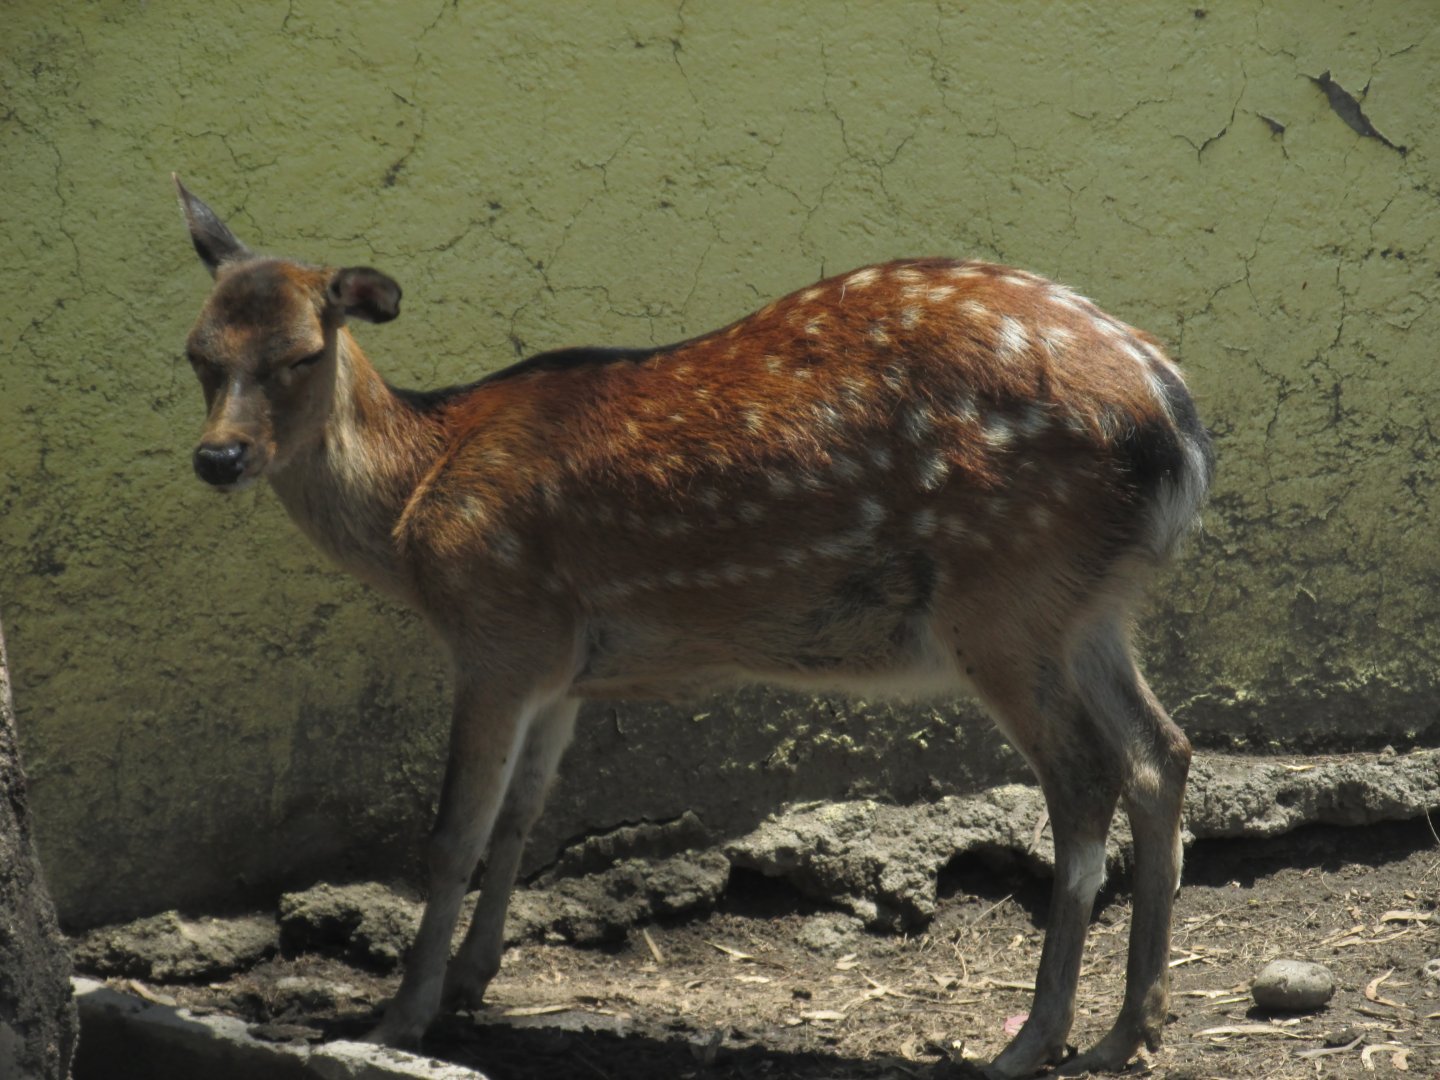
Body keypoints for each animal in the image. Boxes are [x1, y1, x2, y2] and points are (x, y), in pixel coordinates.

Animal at [173, 175, 1212, 1077]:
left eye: (302, 354)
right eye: (196, 352)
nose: (219, 458)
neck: (415, 500)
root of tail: (1173, 422)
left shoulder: (497, 629)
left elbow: (452, 834)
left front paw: (402, 1017)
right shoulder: (561, 667)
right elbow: (521, 817)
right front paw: (472, 982)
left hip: (1004, 594)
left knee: (1086, 776)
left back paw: (1033, 1040)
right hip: (1088, 608)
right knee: (1163, 752)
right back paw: (1130, 1031)